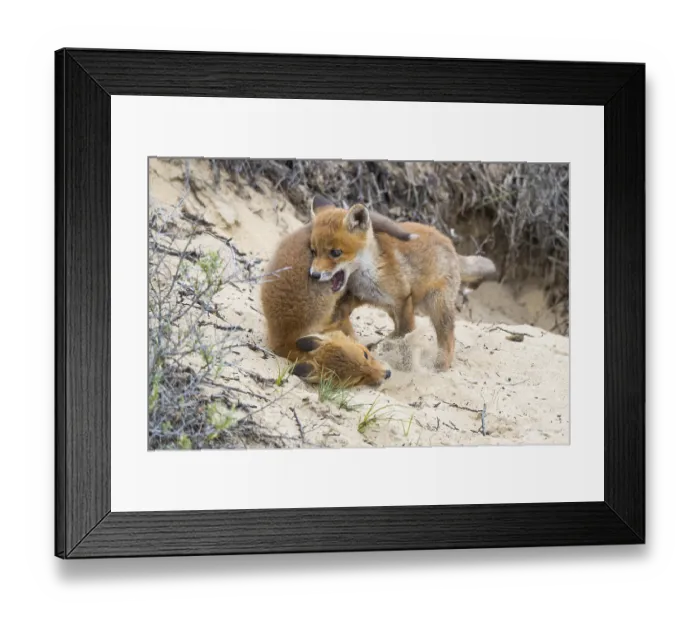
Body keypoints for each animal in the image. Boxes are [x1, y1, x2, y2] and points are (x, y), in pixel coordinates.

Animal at [308, 203, 497, 371]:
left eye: (335, 253)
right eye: (314, 251)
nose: (314, 275)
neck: (369, 271)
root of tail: (450, 244)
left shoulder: (403, 299)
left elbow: (406, 333)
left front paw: (405, 364)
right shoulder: (361, 296)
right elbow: (342, 313)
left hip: (437, 304)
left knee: (447, 336)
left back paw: (440, 365)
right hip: (394, 308)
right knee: (397, 329)